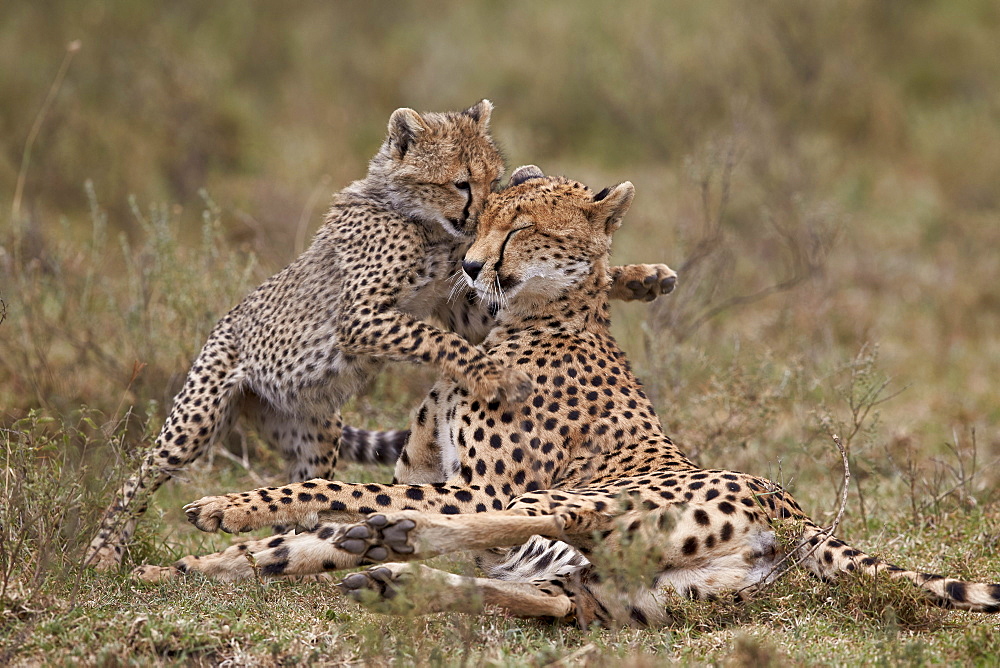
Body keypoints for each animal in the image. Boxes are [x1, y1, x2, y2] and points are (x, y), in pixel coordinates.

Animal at [88, 102, 680, 572]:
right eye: (463, 184)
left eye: (497, 188)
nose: (475, 244)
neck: (421, 219)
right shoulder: (367, 316)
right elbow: (439, 340)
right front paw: (498, 375)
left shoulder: (456, 303)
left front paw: (638, 277)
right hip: (199, 415)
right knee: (142, 475)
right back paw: (104, 551)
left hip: (313, 435)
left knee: (306, 496)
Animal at [135, 167, 1000, 628]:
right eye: (479, 218)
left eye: (521, 230)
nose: (471, 266)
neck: (533, 319)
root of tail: (794, 509)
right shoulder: (436, 467)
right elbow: (313, 525)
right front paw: (186, 567)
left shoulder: (473, 481)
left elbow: (336, 491)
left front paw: (228, 514)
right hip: (634, 593)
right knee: (551, 599)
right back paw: (393, 570)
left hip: (595, 510)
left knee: (525, 519)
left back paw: (393, 544)